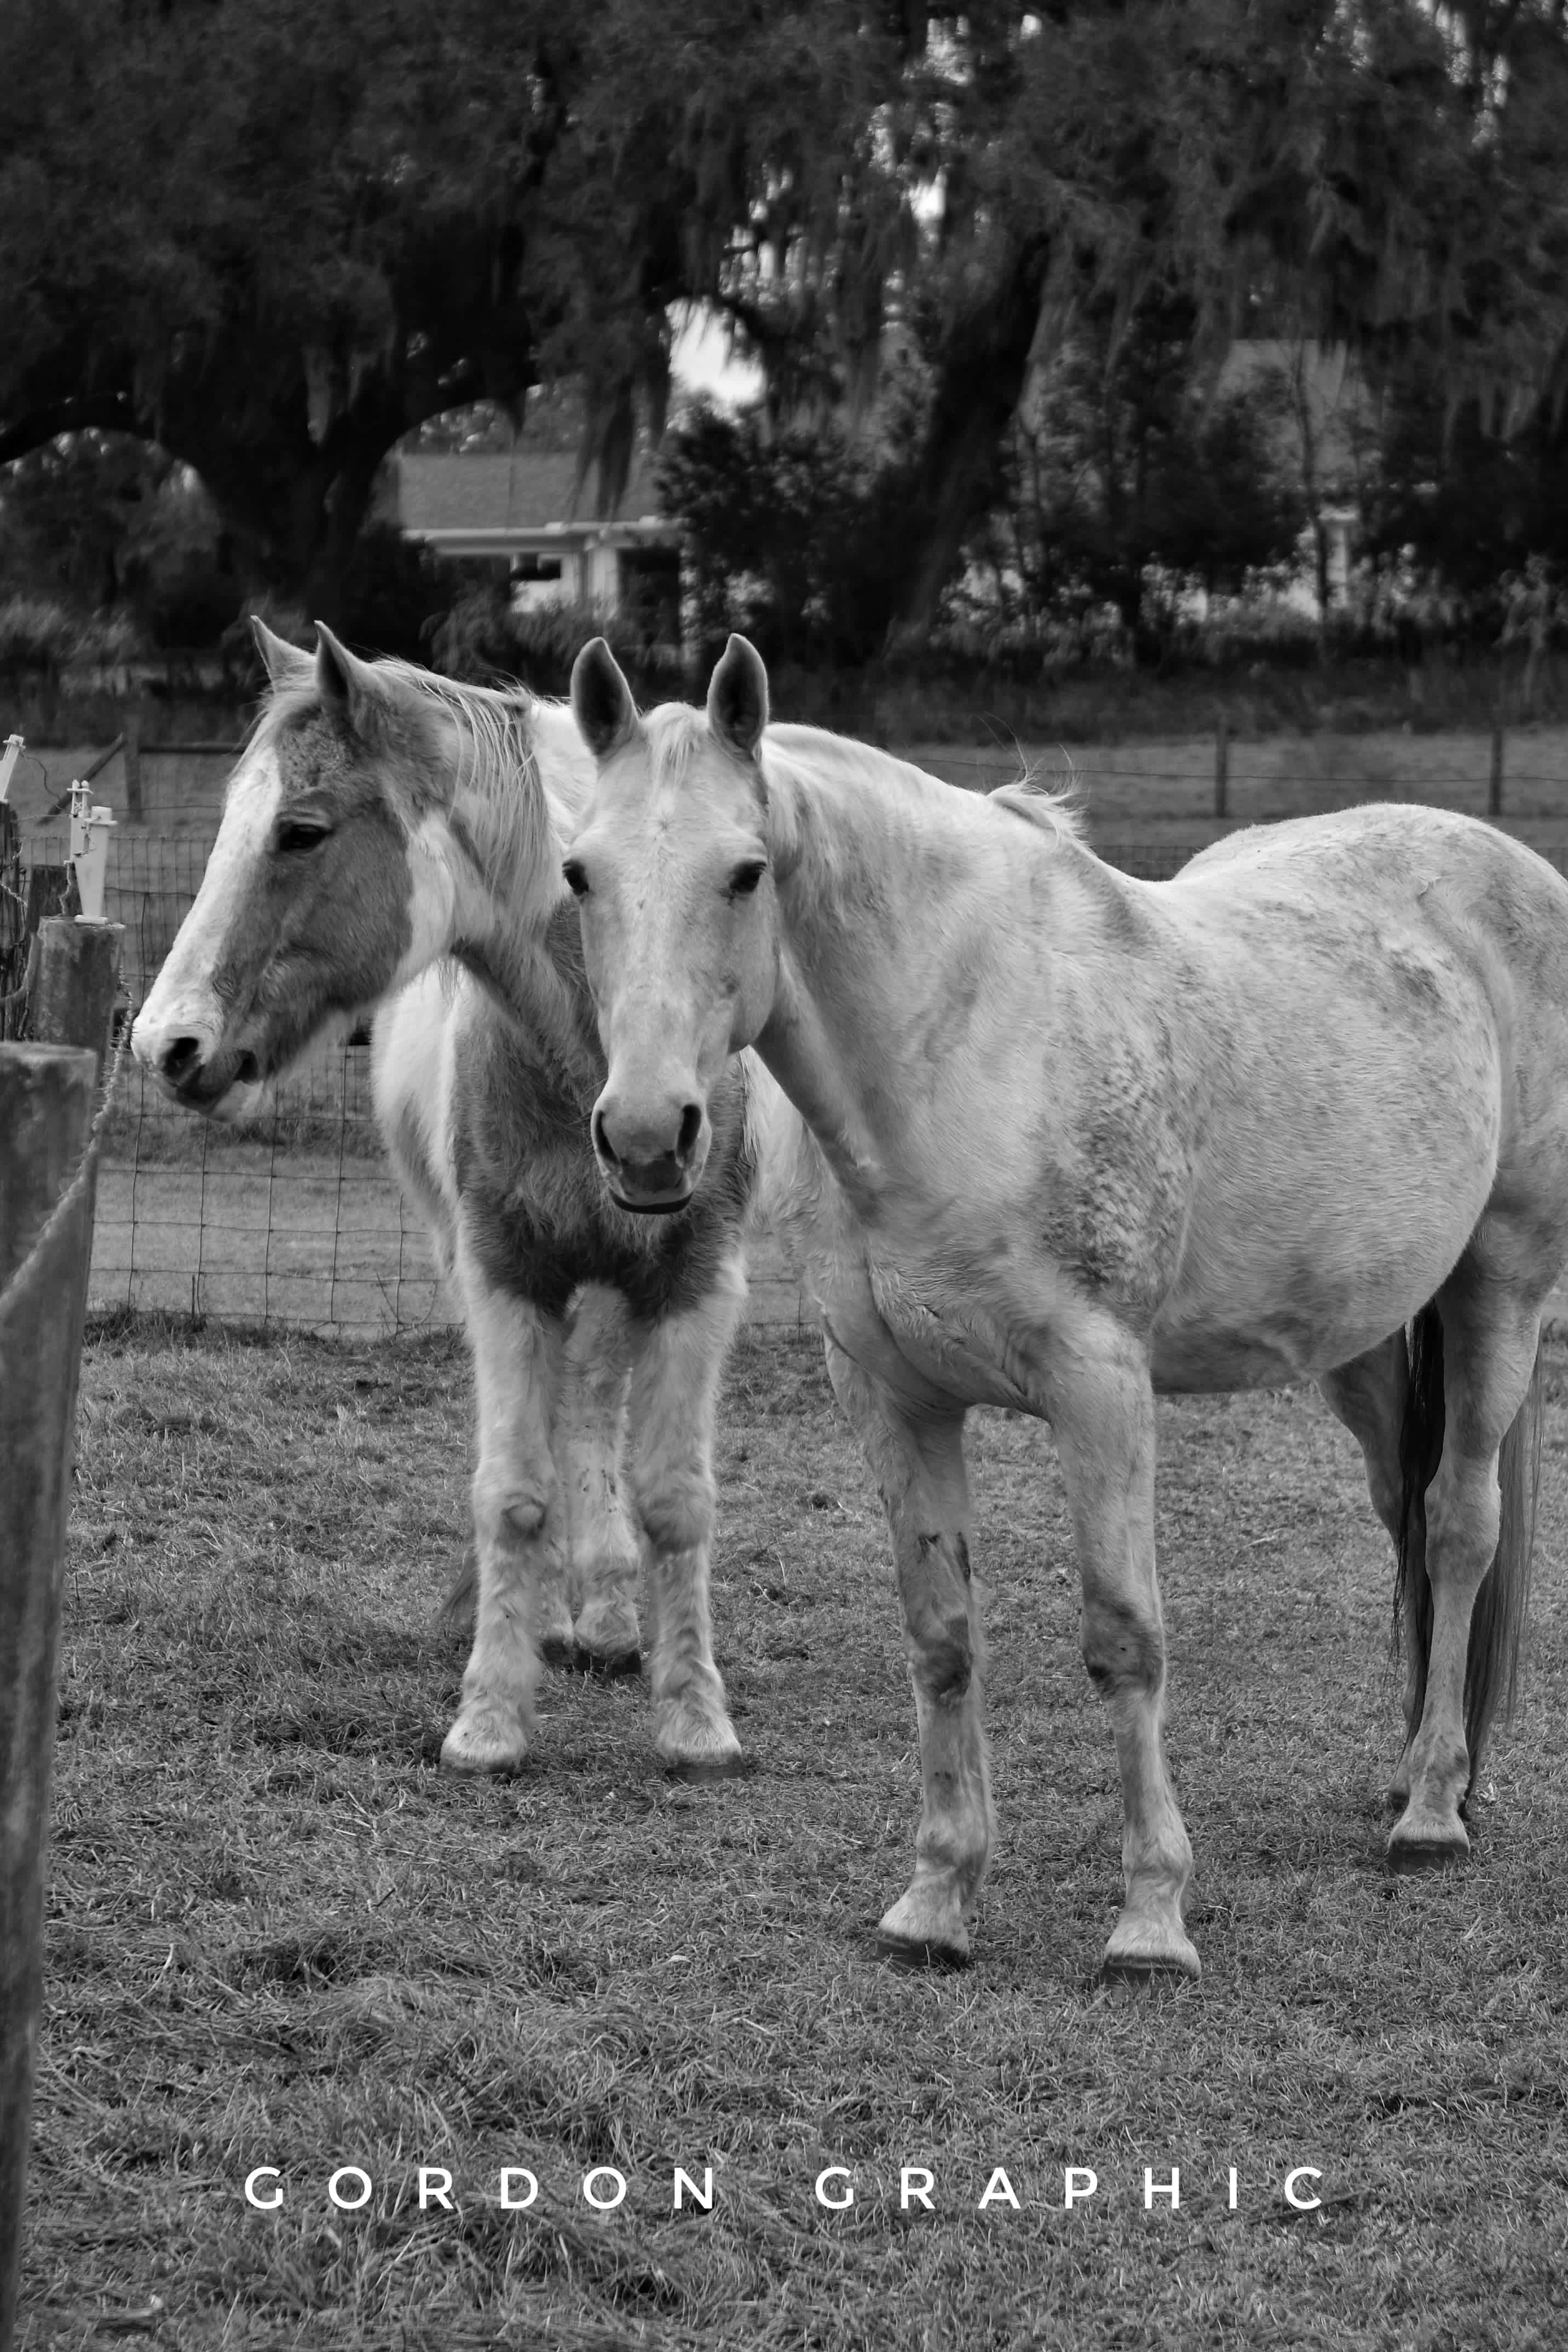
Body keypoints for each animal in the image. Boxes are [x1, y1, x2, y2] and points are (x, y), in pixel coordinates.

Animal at [132, 620, 783, 1782]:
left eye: (299, 832)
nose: (166, 1044)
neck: (598, 1060)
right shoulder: (500, 1274)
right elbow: (512, 1493)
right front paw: (490, 1714)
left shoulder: (697, 1281)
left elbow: (673, 1498)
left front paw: (694, 1719)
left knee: (592, 1405)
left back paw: (605, 1613)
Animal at [558, 630, 1565, 1981]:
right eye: (579, 873)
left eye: (744, 872)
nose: (645, 1138)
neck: (960, 1052)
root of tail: (1503, 863)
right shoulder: (891, 1397)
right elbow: (940, 1639)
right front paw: (934, 1899)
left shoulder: (1098, 1388)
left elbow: (1122, 1638)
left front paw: (1149, 1920)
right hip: (1359, 1350)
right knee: (1404, 1518)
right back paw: (1417, 1774)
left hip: (1498, 1289)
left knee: (1458, 1526)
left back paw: (1432, 1811)